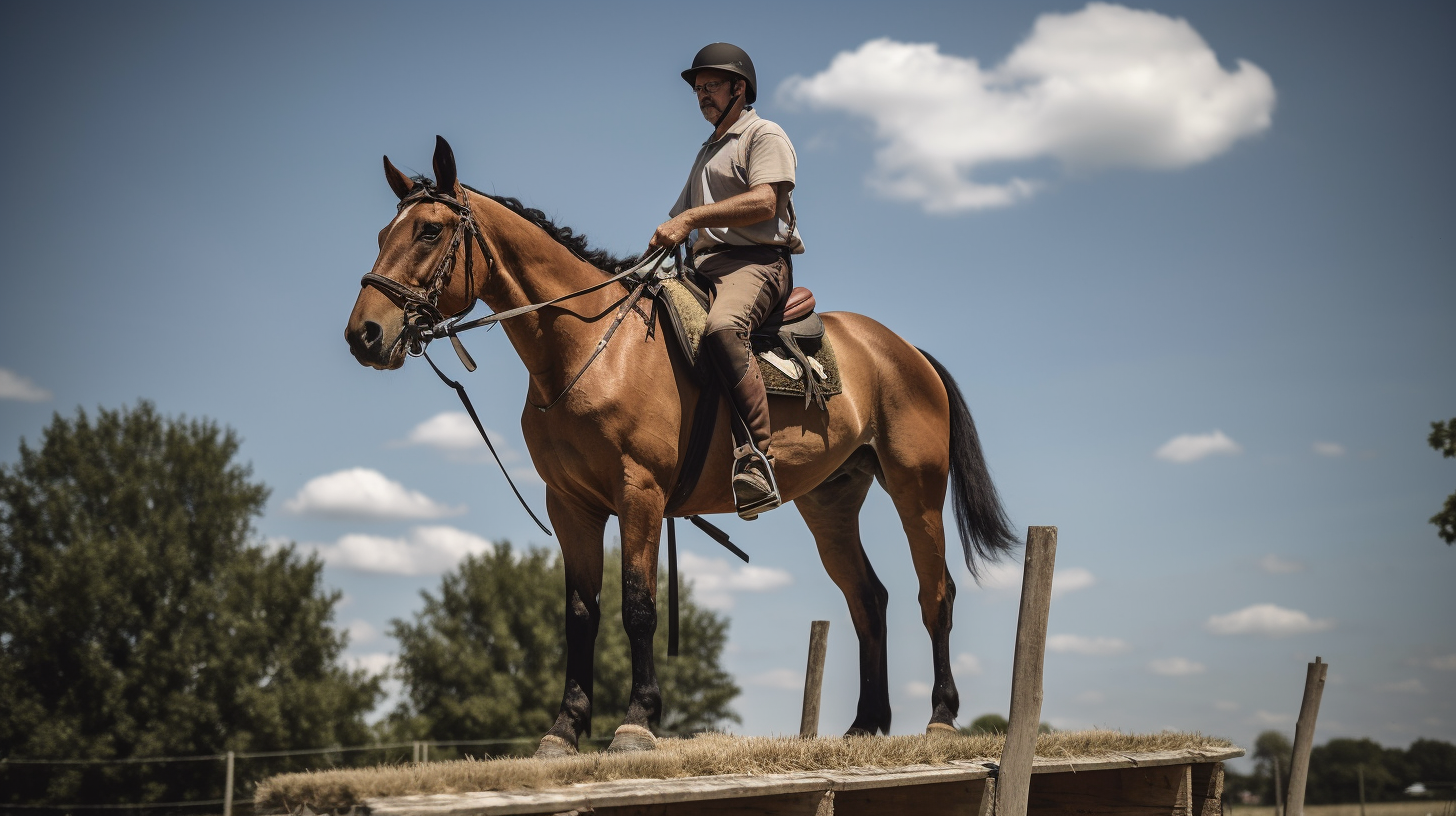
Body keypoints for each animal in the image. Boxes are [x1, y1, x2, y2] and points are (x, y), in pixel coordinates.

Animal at [345, 136, 1019, 757]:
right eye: (381, 232)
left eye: (430, 231)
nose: (364, 335)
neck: (591, 349)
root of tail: (903, 350)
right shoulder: (571, 505)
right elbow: (580, 614)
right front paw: (564, 729)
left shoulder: (639, 493)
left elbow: (638, 604)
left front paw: (636, 722)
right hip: (830, 504)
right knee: (867, 599)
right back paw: (865, 725)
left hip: (916, 489)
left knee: (935, 592)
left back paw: (940, 716)